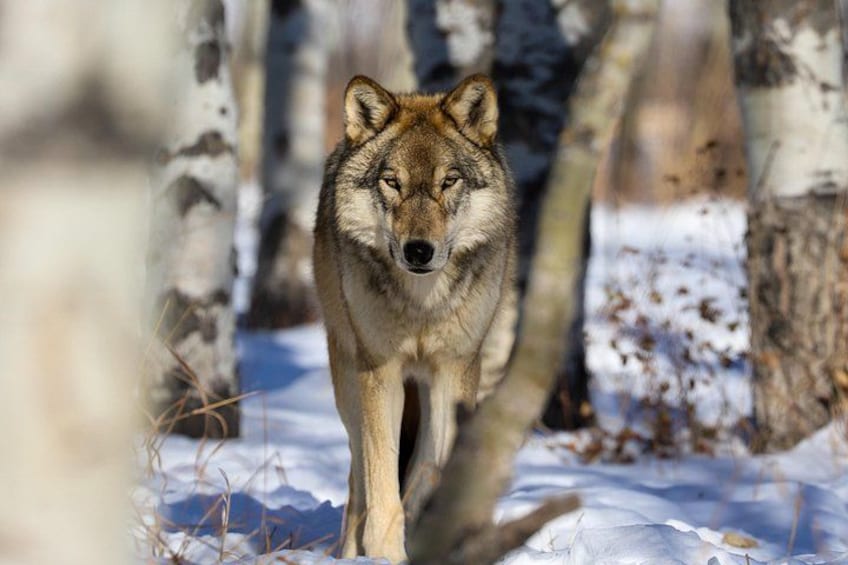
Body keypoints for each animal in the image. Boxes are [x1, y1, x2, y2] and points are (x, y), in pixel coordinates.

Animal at [312, 74, 517, 562]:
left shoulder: (454, 372)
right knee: (357, 476)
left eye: (449, 181)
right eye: (392, 182)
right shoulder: (380, 370)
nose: (419, 251)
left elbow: (427, 472)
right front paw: (385, 551)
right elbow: (381, 478)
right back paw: (349, 548)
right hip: (347, 378)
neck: (423, 305)